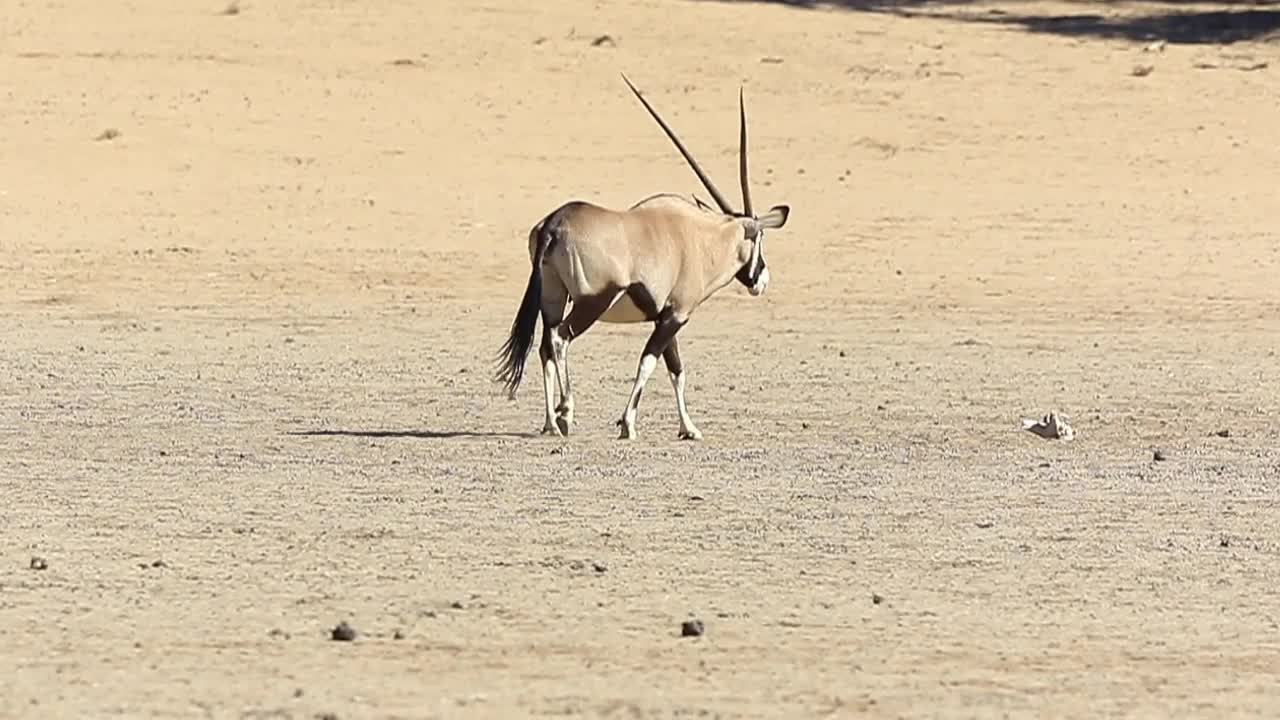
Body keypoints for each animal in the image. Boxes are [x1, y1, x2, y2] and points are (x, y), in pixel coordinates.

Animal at [494, 74, 790, 440]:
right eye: (760, 237)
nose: (761, 280)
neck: (702, 238)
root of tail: (554, 223)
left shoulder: (665, 317)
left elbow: (676, 370)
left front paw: (689, 428)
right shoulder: (676, 315)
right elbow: (650, 362)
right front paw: (629, 424)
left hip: (552, 297)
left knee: (546, 345)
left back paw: (550, 423)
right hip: (593, 301)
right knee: (561, 338)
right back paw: (565, 412)